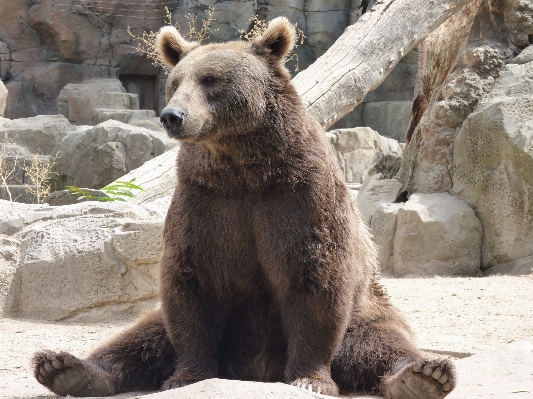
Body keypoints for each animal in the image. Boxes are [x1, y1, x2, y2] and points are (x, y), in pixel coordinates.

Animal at [33, 17, 456, 398]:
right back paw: (66, 368)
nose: (173, 116)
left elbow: (316, 278)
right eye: (175, 82)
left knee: (382, 343)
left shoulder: (300, 200)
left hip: (367, 310)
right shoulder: (207, 204)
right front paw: (186, 376)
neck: (244, 171)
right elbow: (189, 285)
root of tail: (254, 370)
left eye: (210, 80)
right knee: (141, 336)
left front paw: (309, 378)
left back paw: (424, 375)